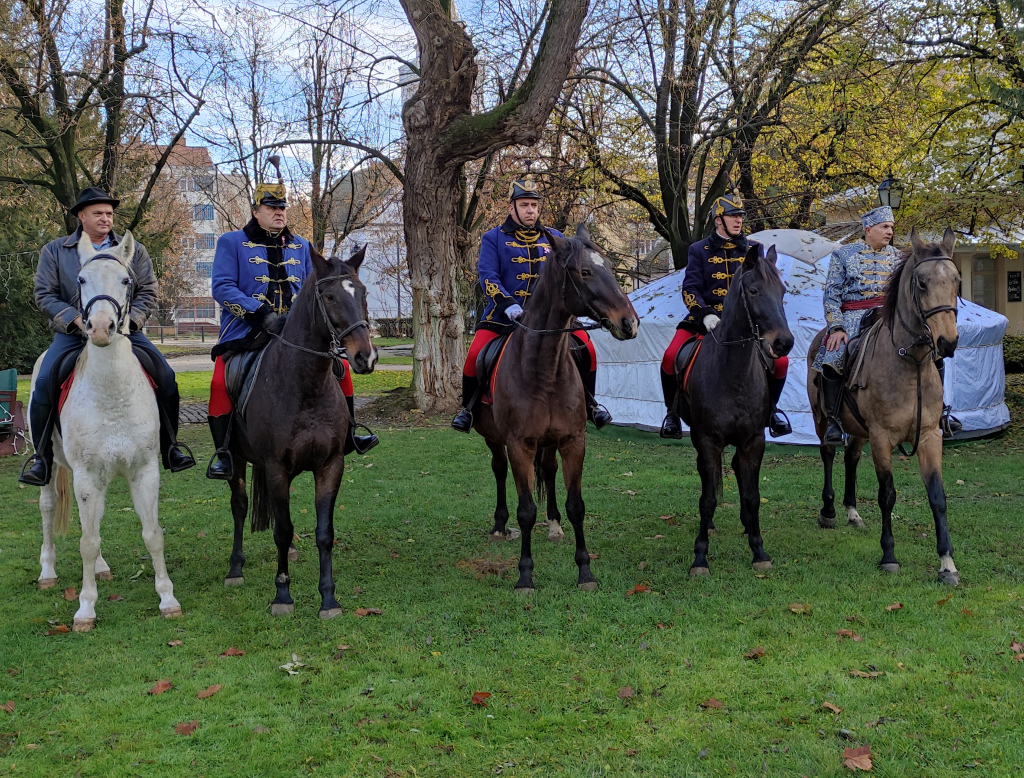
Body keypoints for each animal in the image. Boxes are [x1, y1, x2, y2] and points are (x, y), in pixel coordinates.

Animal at [31, 231, 180, 630]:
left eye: (127, 280)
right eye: (81, 280)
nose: (99, 329)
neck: (112, 394)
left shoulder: (144, 470)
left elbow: (152, 535)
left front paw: (167, 598)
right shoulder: (85, 475)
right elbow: (87, 541)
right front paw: (85, 608)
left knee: (94, 524)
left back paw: (100, 569)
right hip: (51, 464)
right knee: (49, 508)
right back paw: (48, 572)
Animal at [218, 245, 378, 618]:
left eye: (363, 293)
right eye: (330, 296)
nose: (365, 357)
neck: (306, 386)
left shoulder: (330, 465)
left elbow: (324, 532)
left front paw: (329, 598)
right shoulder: (276, 468)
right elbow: (283, 529)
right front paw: (282, 595)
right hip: (236, 460)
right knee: (239, 505)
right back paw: (235, 568)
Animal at [473, 222, 634, 593]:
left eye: (610, 266)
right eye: (585, 271)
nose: (629, 323)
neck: (543, 368)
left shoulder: (573, 441)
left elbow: (577, 505)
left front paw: (585, 571)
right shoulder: (519, 444)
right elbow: (525, 510)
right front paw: (525, 576)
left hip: (549, 443)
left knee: (547, 471)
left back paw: (555, 524)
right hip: (494, 438)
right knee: (499, 470)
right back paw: (499, 525)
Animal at [684, 245, 794, 581]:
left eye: (782, 291)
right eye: (754, 291)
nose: (783, 343)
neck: (732, 374)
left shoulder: (753, 441)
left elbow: (752, 496)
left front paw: (759, 550)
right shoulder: (707, 441)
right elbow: (707, 499)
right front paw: (700, 557)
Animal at [806, 225, 958, 581]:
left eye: (956, 279)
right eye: (922, 283)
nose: (948, 342)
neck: (909, 364)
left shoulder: (929, 436)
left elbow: (937, 496)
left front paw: (947, 563)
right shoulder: (882, 437)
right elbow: (886, 495)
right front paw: (889, 555)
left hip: (858, 428)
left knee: (850, 457)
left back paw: (851, 512)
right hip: (823, 419)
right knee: (829, 452)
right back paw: (829, 510)